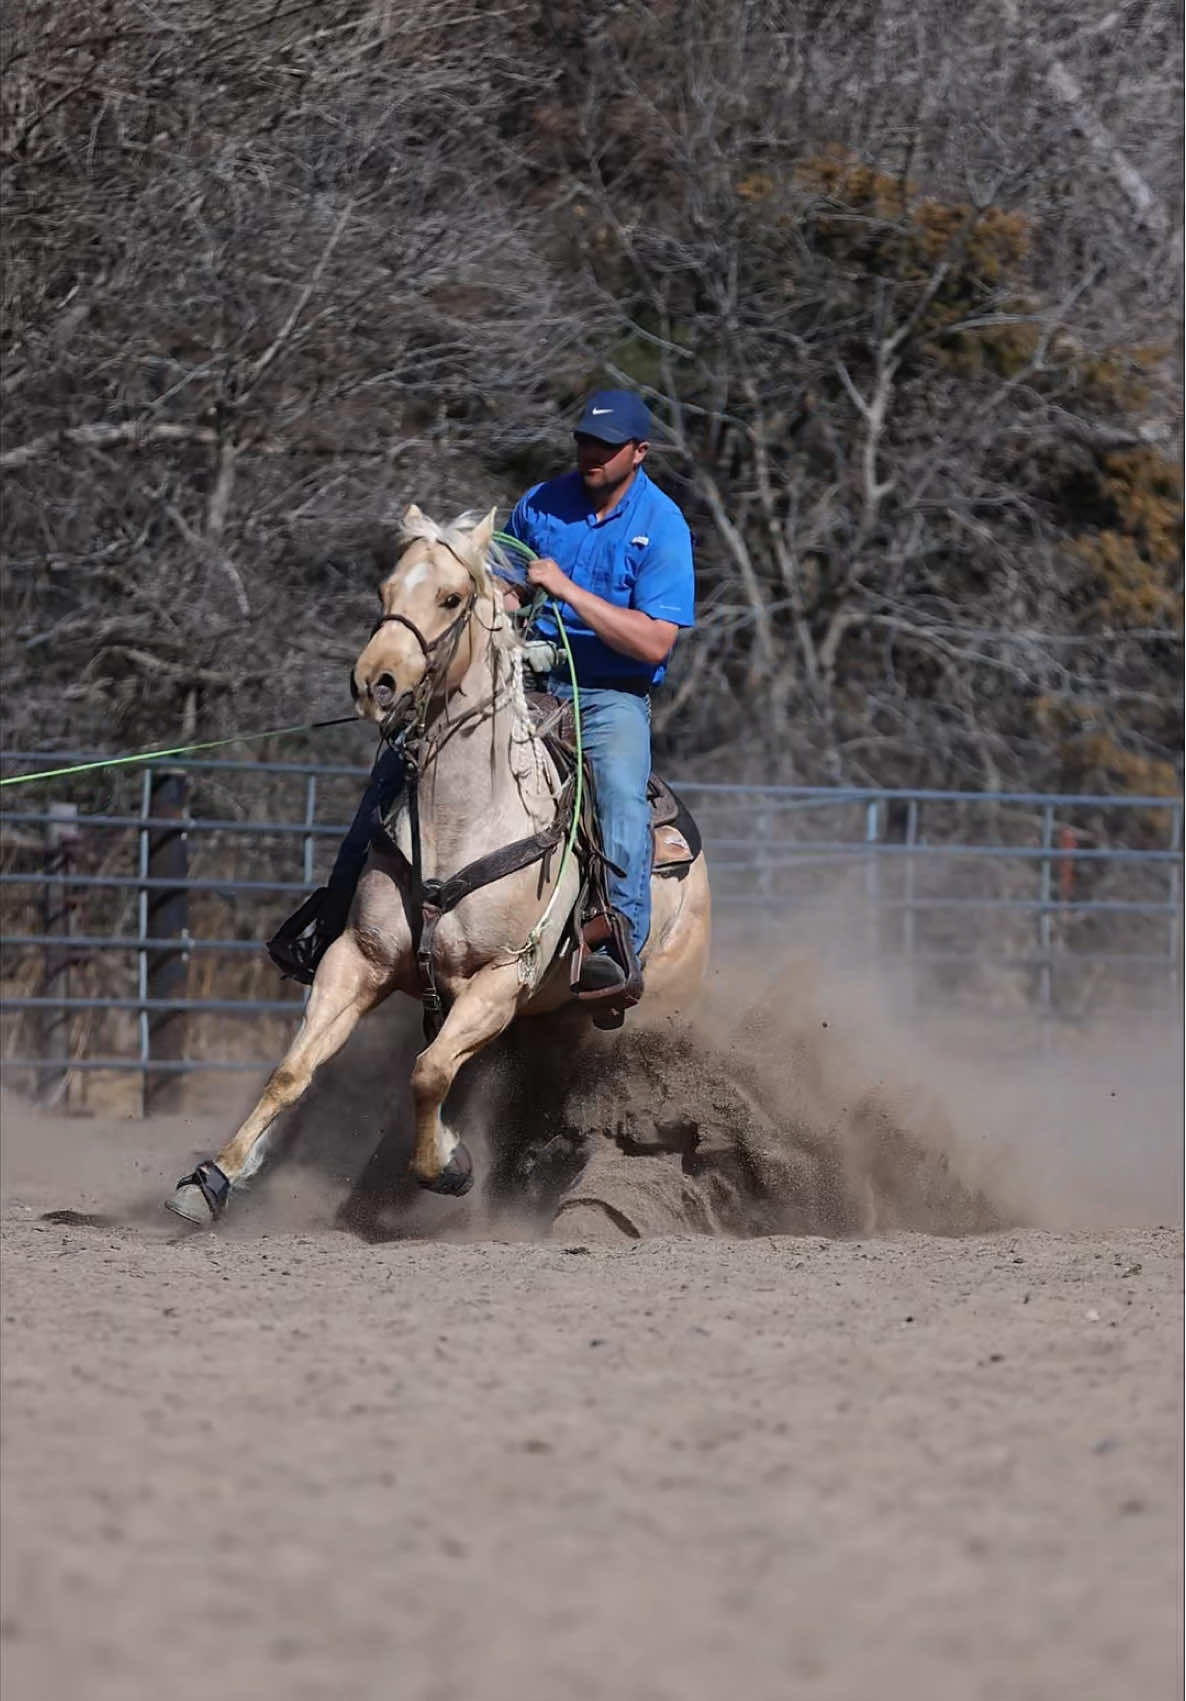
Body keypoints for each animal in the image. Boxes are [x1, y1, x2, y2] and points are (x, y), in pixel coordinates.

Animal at [165, 505, 711, 1228]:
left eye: (451, 597)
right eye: (385, 588)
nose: (376, 681)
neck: (463, 820)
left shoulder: (500, 979)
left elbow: (428, 1072)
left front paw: (447, 1165)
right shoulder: (357, 959)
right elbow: (295, 1071)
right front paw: (214, 1178)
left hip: (651, 1006)